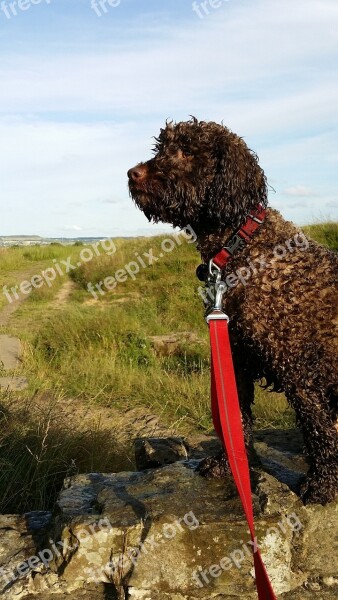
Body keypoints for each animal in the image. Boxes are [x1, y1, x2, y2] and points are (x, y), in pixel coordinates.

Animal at [128, 117, 336, 502]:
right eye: (161, 147)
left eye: (186, 150)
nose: (132, 173)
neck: (240, 245)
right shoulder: (235, 357)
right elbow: (235, 416)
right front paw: (229, 465)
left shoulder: (298, 369)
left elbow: (318, 430)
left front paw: (322, 485)